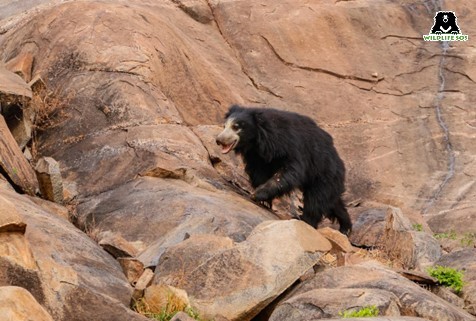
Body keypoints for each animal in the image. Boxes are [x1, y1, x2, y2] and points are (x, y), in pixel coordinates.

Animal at [218, 105, 352, 235]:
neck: (258, 140)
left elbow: (290, 172)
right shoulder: (256, 156)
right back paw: (346, 227)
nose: (219, 140)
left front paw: (258, 194)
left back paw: (306, 220)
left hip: (323, 173)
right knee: (332, 202)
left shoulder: (290, 145)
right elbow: (258, 172)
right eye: (224, 126)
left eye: (236, 127)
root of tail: (339, 162)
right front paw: (264, 201)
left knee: (316, 200)